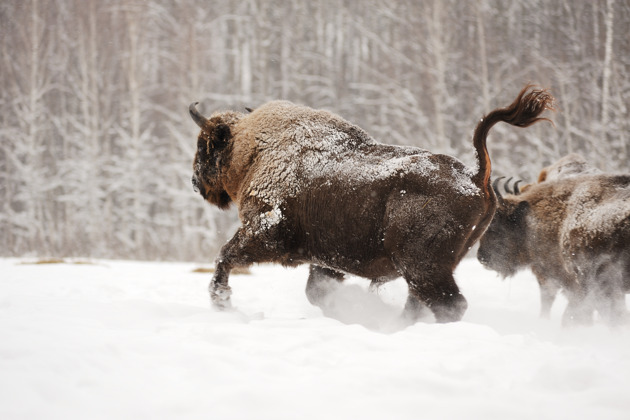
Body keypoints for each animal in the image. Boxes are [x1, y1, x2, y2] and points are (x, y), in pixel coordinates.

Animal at [191, 84, 552, 322]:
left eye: (205, 145)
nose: (195, 182)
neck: (254, 152)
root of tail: (475, 177)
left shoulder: (264, 232)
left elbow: (225, 255)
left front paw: (221, 302)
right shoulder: (326, 261)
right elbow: (316, 291)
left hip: (422, 267)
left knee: (448, 304)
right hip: (430, 268)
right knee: (422, 303)